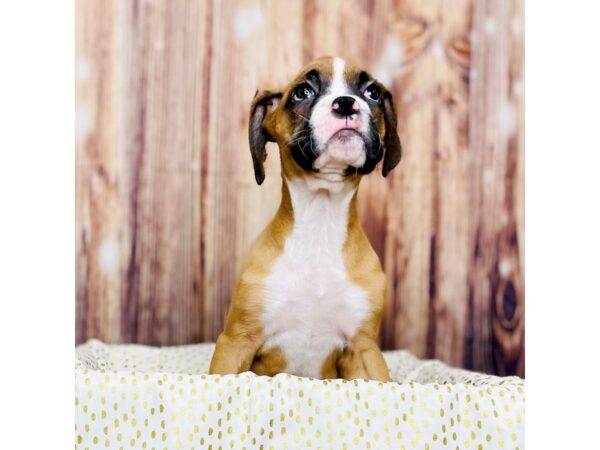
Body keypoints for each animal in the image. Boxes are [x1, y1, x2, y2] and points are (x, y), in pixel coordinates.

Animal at [209, 55, 400, 380]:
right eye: (302, 92)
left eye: (372, 93)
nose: (346, 103)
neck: (320, 225)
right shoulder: (235, 341)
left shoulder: (365, 351)